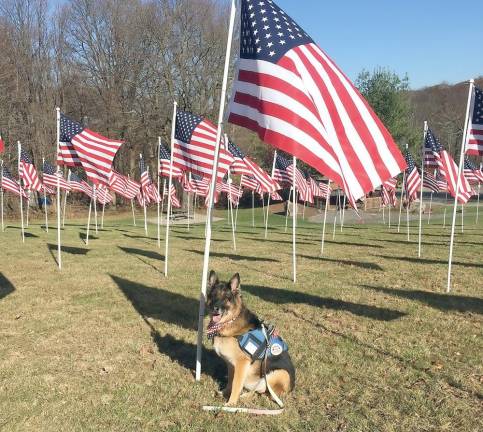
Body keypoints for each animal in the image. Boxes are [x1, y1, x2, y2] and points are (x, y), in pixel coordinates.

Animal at [205, 272, 294, 406]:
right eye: (213, 295)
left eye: (227, 298)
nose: (215, 308)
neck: (230, 321)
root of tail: (292, 388)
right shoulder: (231, 364)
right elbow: (231, 381)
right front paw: (225, 393)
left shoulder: (242, 364)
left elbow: (236, 385)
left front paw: (231, 404)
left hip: (277, 374)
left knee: (265, 392)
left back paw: (245, 397)